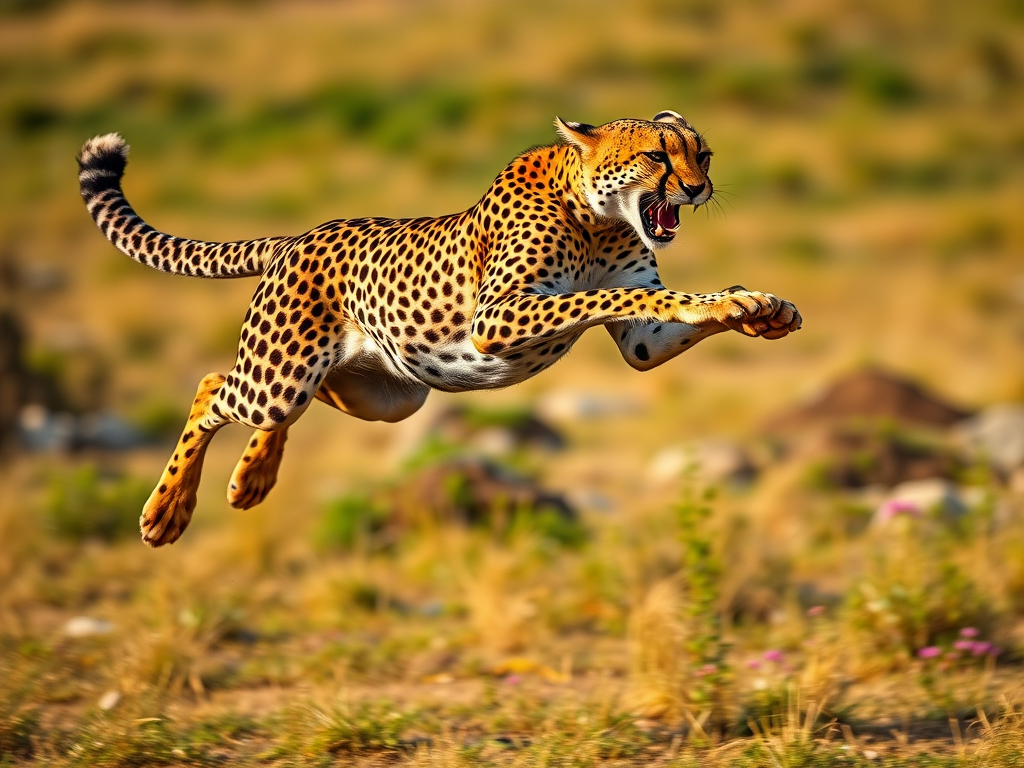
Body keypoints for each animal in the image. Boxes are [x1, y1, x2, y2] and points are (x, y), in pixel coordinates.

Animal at [77, 110, 801, 547]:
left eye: (704, 154)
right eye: (657, 156)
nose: (699, 189)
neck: (595, 215)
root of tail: (296, 236)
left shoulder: (641, 345)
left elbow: (659, 309)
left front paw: (754, 306)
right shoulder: (498, 315)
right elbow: (616, 294)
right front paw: (736, 301)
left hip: (384, 395)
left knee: (299, 398)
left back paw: (254, 476)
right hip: (279, 378)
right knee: (210, 386)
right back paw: (166, 510)